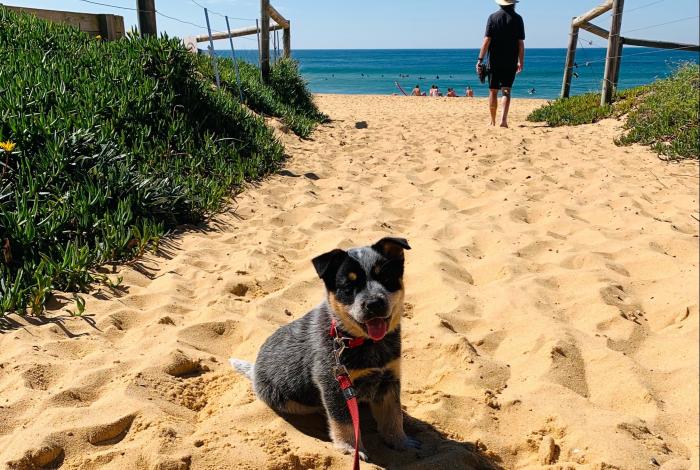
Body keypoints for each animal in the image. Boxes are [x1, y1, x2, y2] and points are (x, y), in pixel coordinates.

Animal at [230, 235, 418, 458]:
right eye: (347, 287)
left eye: (386, 278)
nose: (374, 303)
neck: (356, 339)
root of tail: (254, 368)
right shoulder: (333, 382)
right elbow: (344, 419)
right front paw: (349, 448)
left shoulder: (389, 377)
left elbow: (393, 416)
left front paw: (401, 442)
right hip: (284, 398)